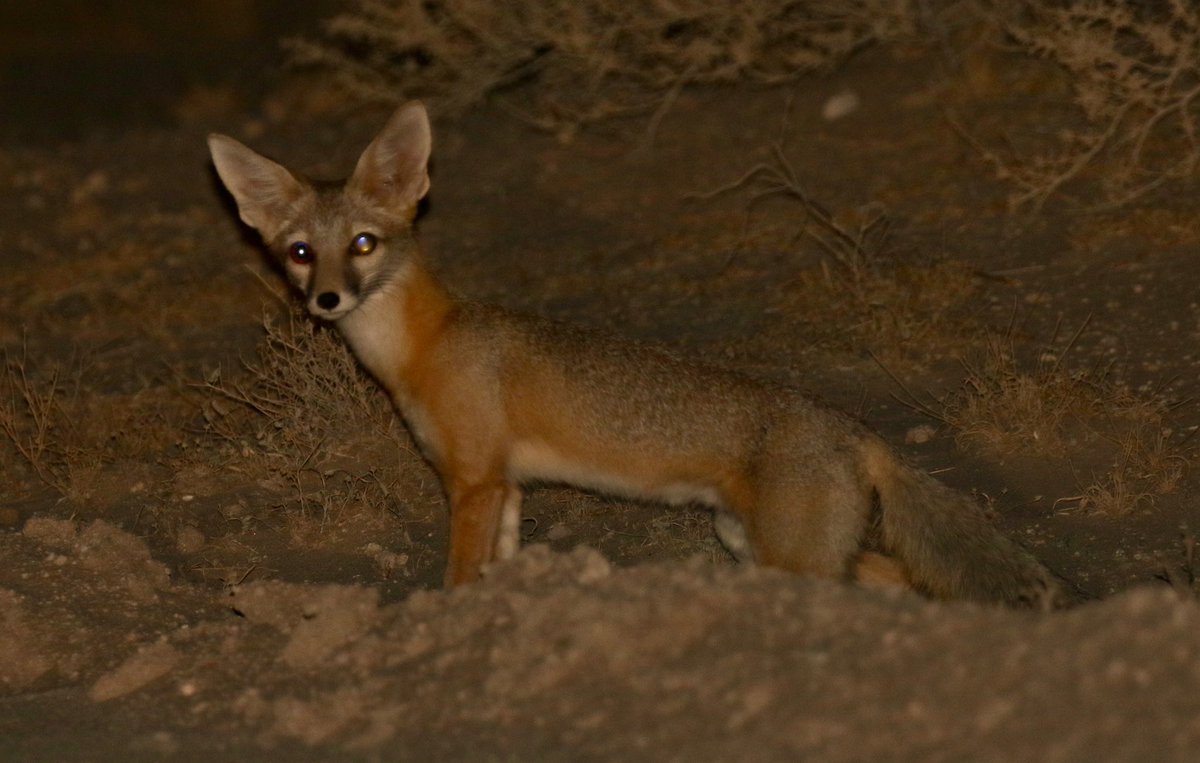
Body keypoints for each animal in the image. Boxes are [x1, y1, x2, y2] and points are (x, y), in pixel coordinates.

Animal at [207, 102, 1062, 606]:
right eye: (300, 253)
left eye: (363, 245)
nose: (326, 301)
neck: (422, 344)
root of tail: (854, 429)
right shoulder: (506, 486)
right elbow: (501, 566)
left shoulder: (474, 482)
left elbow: (457, 578)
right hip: (757, 542)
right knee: (904, 584)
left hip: (788, 557)